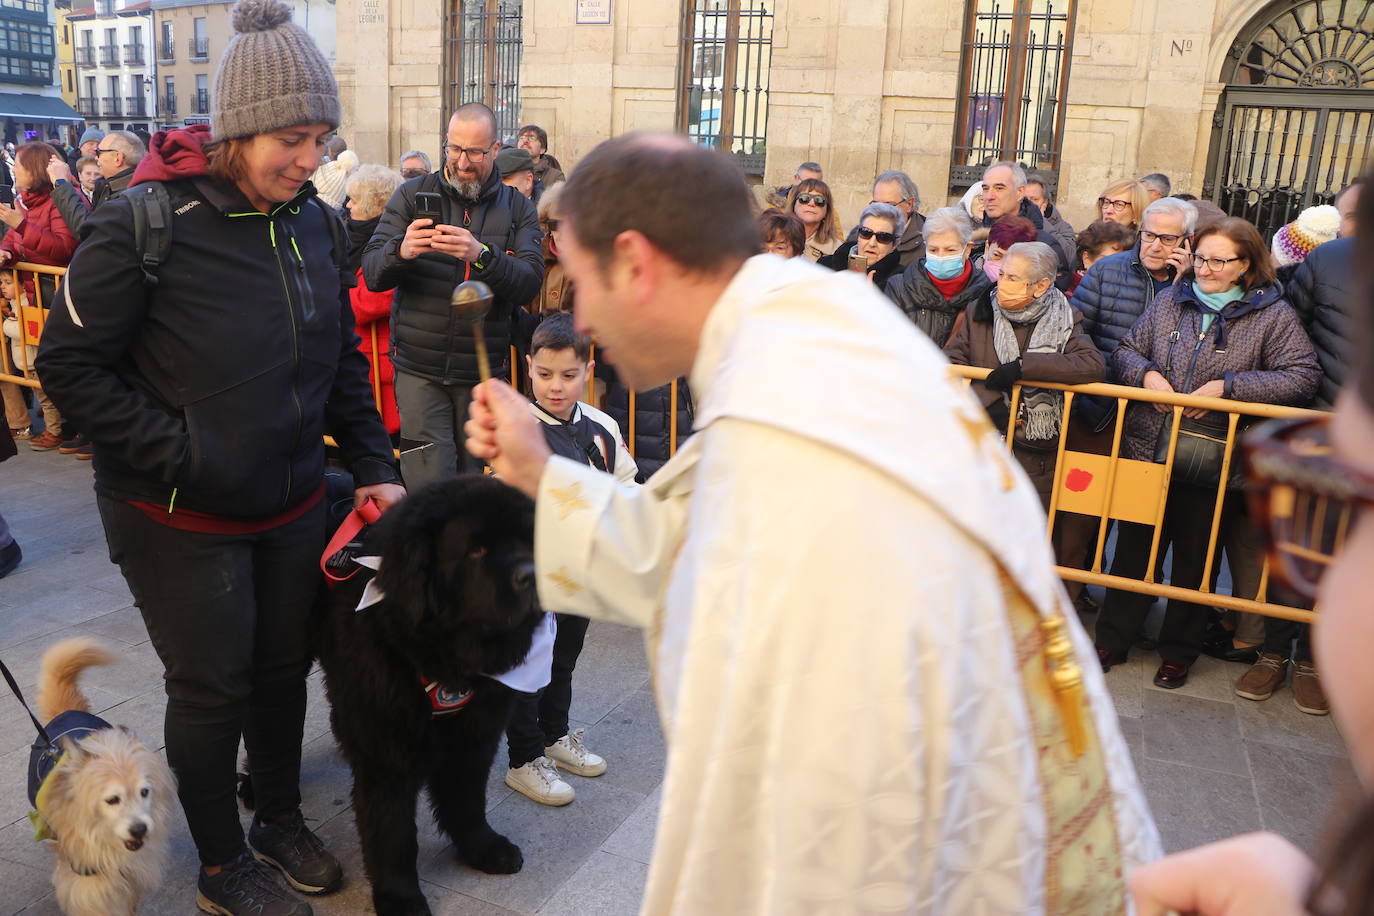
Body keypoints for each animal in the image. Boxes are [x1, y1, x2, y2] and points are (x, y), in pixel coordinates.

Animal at [30, 642, 174, 916]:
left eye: (144, 792)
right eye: (112, 799)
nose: (140, 829)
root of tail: (67, 712)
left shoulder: (133, 870)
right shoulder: (83, 875)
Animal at [314, 477, 541, 911]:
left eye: (527, 539)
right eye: (476, 549)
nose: (530, 575)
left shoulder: (476, 730)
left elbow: (467, 797)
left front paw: (482, 848)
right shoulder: (388, 747)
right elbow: (394, 831)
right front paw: (400, 896)